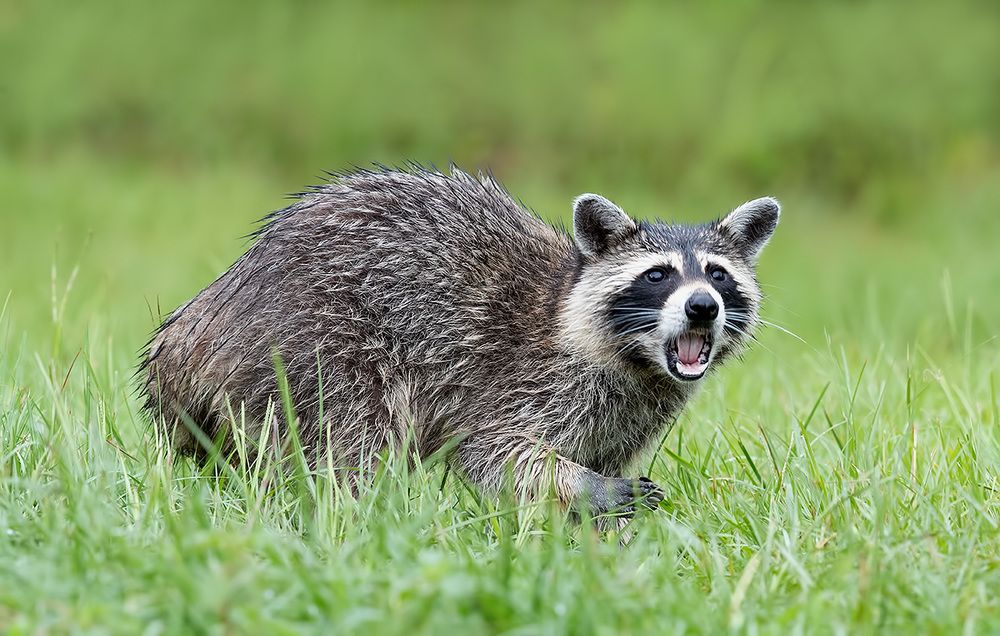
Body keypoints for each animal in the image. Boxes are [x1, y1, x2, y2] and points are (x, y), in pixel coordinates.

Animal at [143, 167, 779, 515]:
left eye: (718, 274)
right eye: (658, 275)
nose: (703, 306)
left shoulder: (618, 416)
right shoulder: (525, 380)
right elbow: (497, 455)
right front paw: (582, 487)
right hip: (316, 343)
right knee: (352, 444)